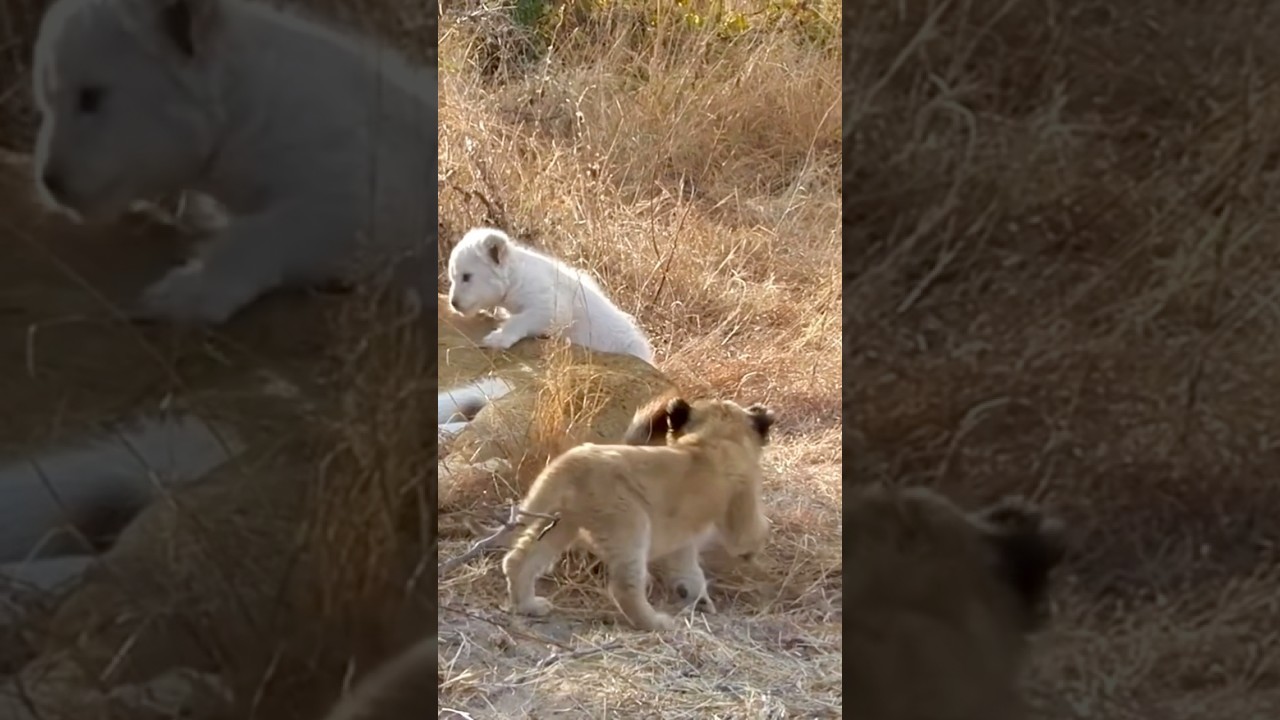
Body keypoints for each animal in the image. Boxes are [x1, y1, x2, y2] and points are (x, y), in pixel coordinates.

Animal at [500, 396, 776, 631]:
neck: (716, 436)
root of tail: (576, 460)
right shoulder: (742, 509)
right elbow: (752, 534)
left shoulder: (682, 538)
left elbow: (689, 570)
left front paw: (697, 599)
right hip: (629, 525)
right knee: (624, 587)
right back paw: (656, 623)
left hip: (561, 522)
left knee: (520, 558)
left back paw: (528, 605)